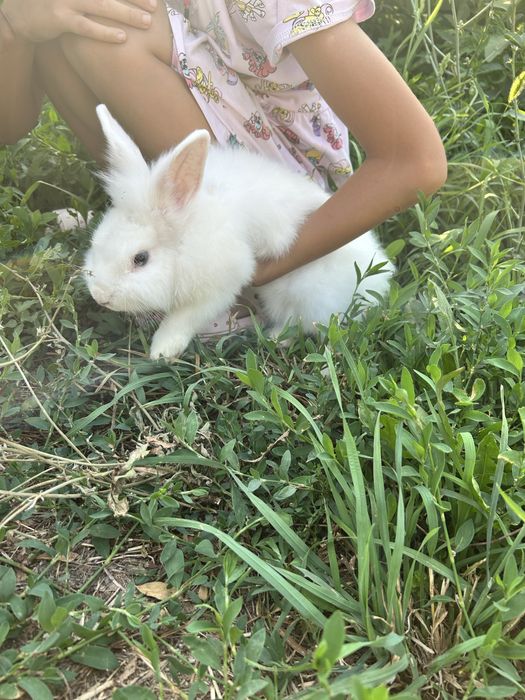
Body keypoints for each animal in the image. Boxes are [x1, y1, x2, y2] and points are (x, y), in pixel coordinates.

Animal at [84, 105, 394, 360]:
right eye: (97, 240)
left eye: (140, 259)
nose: (100, 296)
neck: (188, 232)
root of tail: (381, 277)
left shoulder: (222, 280)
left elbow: (185, 317)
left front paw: (162, 349)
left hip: (302, 291)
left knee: (306, 322)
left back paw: (276, 338)